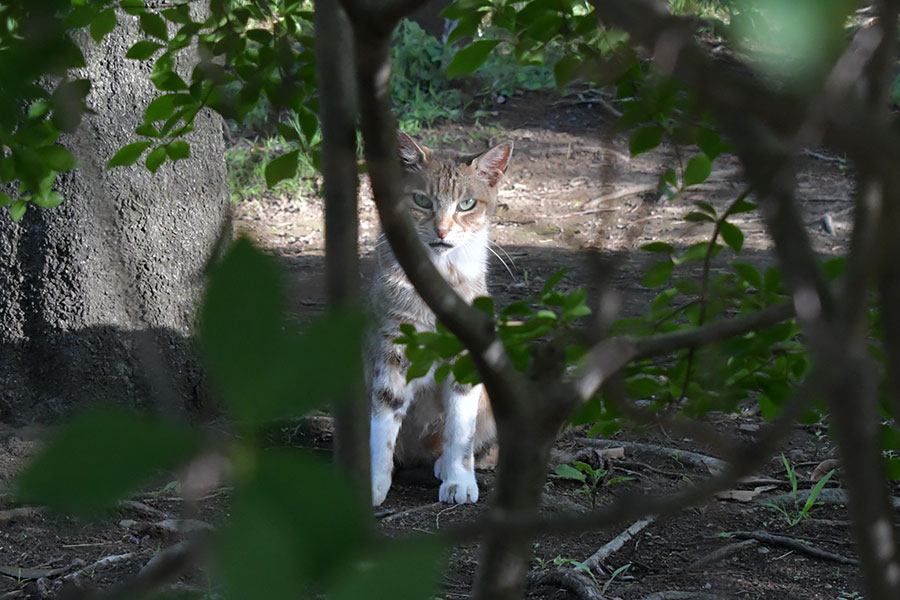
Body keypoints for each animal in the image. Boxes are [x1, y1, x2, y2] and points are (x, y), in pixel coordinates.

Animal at [368, 132, 512, 506]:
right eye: (421, 200)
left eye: (466, 204)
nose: (442, 231)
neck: (437, 274)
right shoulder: (392, 351)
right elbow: (383, 422)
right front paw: (373, 480)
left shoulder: (466, 355)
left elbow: (460, 428)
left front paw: (459, 479)